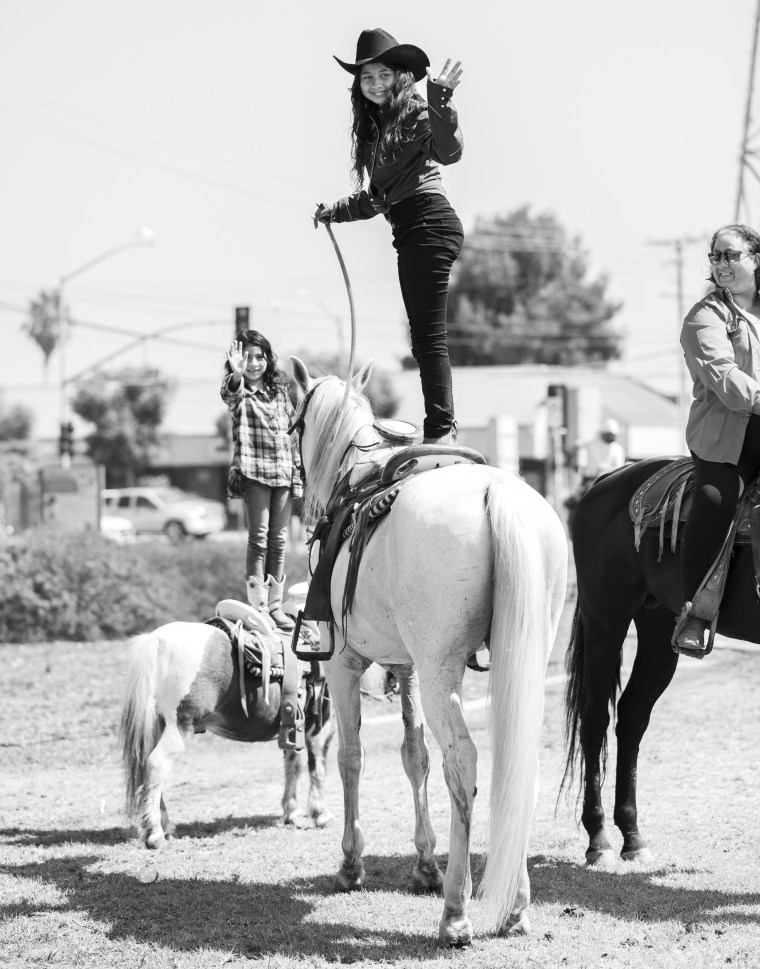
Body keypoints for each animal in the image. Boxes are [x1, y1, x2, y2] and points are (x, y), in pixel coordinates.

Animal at [119, 596, 332, 848]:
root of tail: (158, 640)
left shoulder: (293, 726)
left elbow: (293, 766)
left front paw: (292, 812)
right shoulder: (322, 725)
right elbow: (317, 766)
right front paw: (321, 813)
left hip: (157, 726)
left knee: (148, 768)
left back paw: (165, 825)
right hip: (178, 727)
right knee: (157, 763)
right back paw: (155, 833)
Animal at [288, 360, 568, 940]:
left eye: (295, 422)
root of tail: (495, 492)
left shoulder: (345, 666)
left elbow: (352, 757)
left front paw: (351, 862)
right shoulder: (409, 668)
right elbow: (413, 756)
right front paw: (423, 863)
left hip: (442, 672)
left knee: (461, 763)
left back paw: (457, 911)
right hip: (516, 659)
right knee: (518, 765)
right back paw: (515, 905)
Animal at [560, 458, 756, 864]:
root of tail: (607, 480)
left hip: (658, 630)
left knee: (632, 717)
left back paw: (632, 836)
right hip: (605, 621)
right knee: (595, 720)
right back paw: (598, 839)